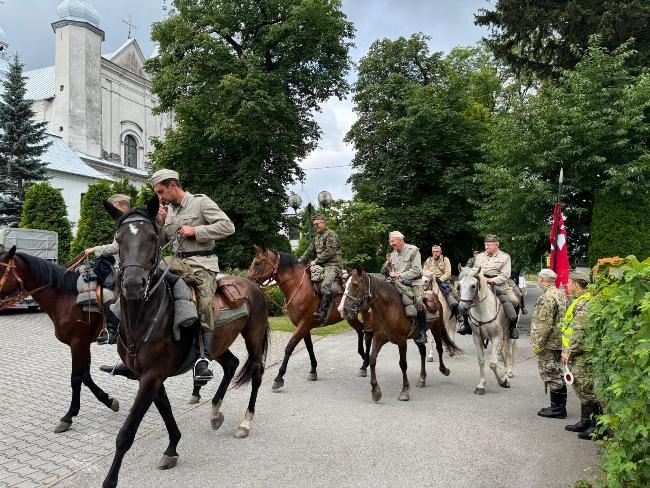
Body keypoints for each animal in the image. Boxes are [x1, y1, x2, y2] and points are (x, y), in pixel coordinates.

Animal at [0, 246, 119, 432]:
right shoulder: (84, 344)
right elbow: (85, 376)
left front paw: (68, 416)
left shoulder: (78, 343)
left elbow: (76, 378)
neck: (65, 298)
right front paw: (108, 400)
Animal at [101, 199, 268, 488]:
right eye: (118, 239)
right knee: (231, 364)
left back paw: (245, 423)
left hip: (254, 337)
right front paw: (172, 449)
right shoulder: (150, 376)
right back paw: (215, 412)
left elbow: (127, 432)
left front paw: (110, 480)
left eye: (152, 237)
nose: (133, 285)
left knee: (256, 373)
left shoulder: (152, 376)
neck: (144, 318)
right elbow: (166, 410)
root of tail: (253, 286)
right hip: (218, 344)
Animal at [247, 246, 372, 390]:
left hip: (365, 314)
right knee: (360, 329)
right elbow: (309, 347)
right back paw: (363, 357)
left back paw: (365, 363)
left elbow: (289, 347)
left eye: (257, 263)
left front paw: (279, 377)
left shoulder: (303, 324)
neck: (298, 287)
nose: (247, 281)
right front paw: (313, 371)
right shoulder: (304, 327)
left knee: (368, 333)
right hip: (350, 317)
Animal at [340, 268, 460, 402]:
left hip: (436, 329)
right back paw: (422, 378)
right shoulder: (378, 338)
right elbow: (372, 359)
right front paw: (376, 391)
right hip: (417, 335)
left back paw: (444, 370)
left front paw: (405, 391)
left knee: (439, 348)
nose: (342, 310)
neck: (388, 310)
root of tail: (434, 296)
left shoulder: (402, 342)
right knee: (422, 352)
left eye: (355, 284)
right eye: (345, 285)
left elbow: (403, 364)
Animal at [454, 264, 512, 394]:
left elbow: (493, 363)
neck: (483, 310)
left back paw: (508, 374)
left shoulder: (496, 337)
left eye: (473, 285)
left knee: (508, 353)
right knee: (504, 353)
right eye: (459, 285)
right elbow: (481, 361)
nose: (462, 308)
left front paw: (502, 381)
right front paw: (481, 385)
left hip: (508, 335)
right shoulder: (477, 337)